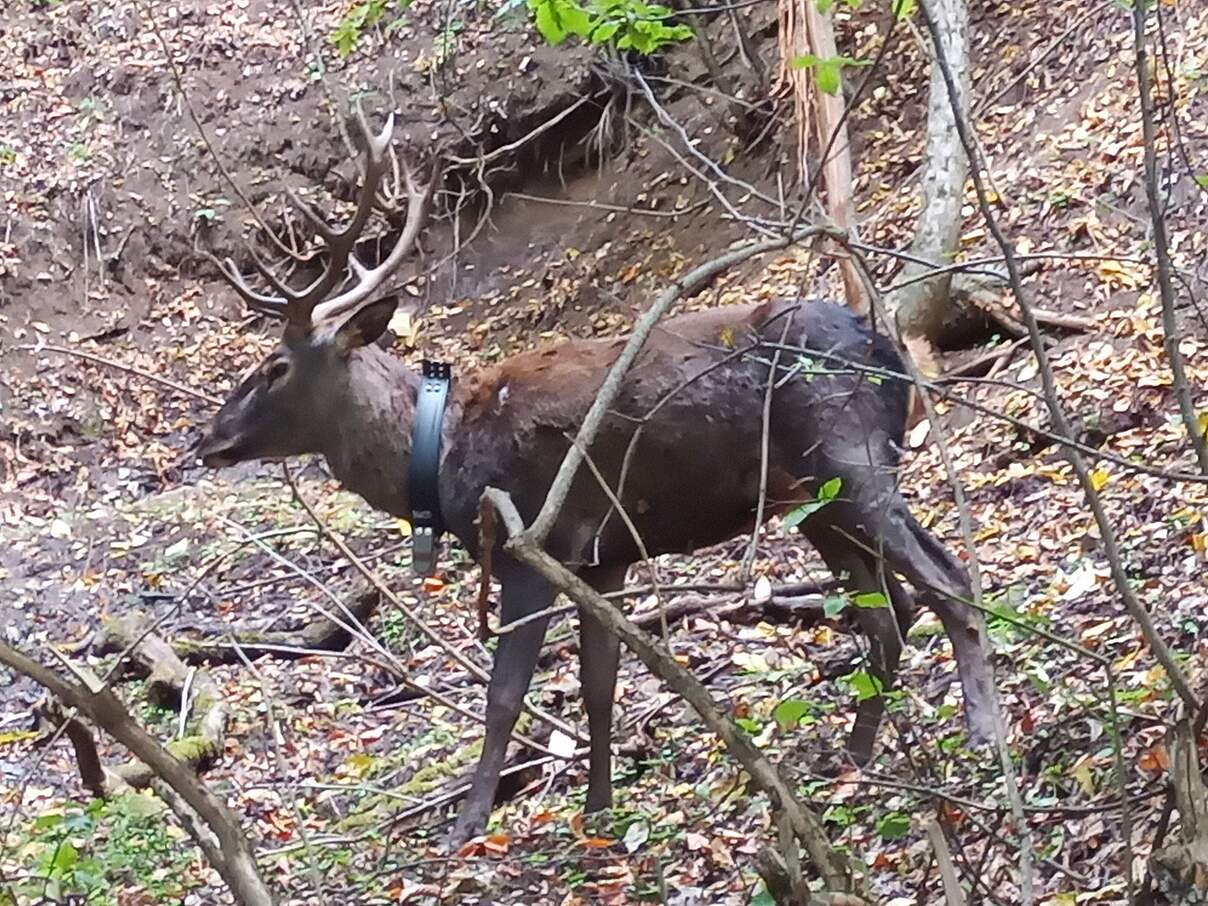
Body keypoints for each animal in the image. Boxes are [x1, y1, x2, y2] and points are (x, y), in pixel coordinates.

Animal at [195, 109, 990, 850]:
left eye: (275, 367)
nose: (207, 439)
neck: (441, 452)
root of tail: (897, 355)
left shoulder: (528, 545)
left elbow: (506, 694)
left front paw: (467, 825)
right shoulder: (601, 558)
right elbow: (597, 682)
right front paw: (600, 808)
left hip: (850, 455)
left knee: (945, 576)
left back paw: (980, 737)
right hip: (814, 500)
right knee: (888, 611)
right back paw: (853, 758)